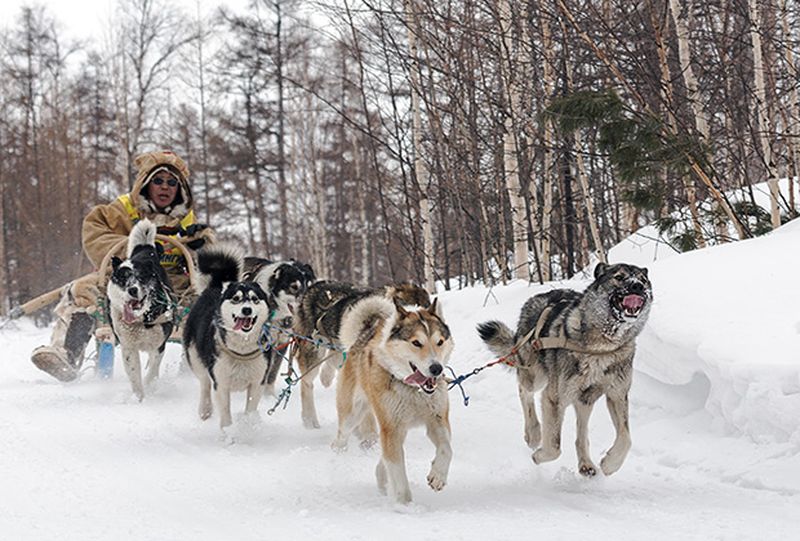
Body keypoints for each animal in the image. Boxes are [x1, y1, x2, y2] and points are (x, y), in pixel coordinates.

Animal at [106, 218, 175, 400]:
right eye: (123, 278)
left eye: (141, 277)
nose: (132, 290)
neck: (141, 320)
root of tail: (145, 250)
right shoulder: (128, 348)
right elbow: (134, 375)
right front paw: (139, 398)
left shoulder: (159, 344)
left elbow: (152, 371)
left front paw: (150, 386)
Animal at [183, 246, 274, 430]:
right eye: (236, 299)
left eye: (254, 299)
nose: (246, 310)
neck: (242, 350)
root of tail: (215, 286)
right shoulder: (221, 383)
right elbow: (225, 412)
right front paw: (228, 432)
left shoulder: (257, 382)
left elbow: (250, 408)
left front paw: (248, 426)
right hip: (195, 358)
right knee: (204, 383)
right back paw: (205, 409)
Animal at [332, 296, 456, 502]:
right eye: (416, 343)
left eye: (439, 342)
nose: (436, 368)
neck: (414, 390)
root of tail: (363, 336)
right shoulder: (391, 429)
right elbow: (398, 473)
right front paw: (405, 504)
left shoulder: (437, 421)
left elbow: (447, 449)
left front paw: (438, 476)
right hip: (354, 415)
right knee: (341, 436)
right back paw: (337, 454)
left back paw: (381, 479)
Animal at [478, 262, 652, 476]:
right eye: (619, 277)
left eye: (643, 280)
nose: (637, 286)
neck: (601, 348)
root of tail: (538, 296)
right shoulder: (554, 398)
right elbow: (554, 446)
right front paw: (538, 456)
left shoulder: (617, 395)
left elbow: (626, 438)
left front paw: (610, 464)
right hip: (535, 376)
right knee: (524, 392)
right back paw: (533, 433)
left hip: (585, 399)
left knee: (581, 434)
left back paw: (586, 464)